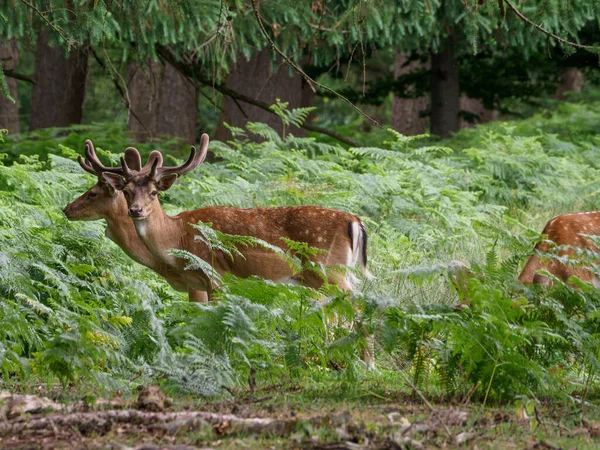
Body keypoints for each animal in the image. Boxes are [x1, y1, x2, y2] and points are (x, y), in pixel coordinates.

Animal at [97, 134, 370, 300]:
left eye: (154, 192)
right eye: (127, 192)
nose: (135, 210)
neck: (178, 236)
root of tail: (355, 221)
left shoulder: (217, 275)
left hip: (329, 269)